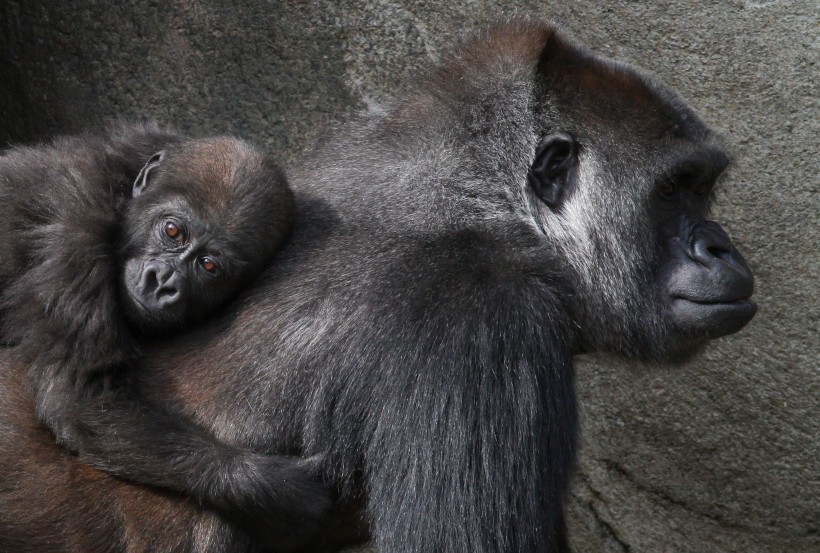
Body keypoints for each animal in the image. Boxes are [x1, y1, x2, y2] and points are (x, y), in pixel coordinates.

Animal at [1, 121, 334, 548]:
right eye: (173, 230)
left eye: (208, 265)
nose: (162, 283)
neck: (123, 200)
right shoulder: (74, 236)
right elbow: (80, 401)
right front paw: (275, 488)